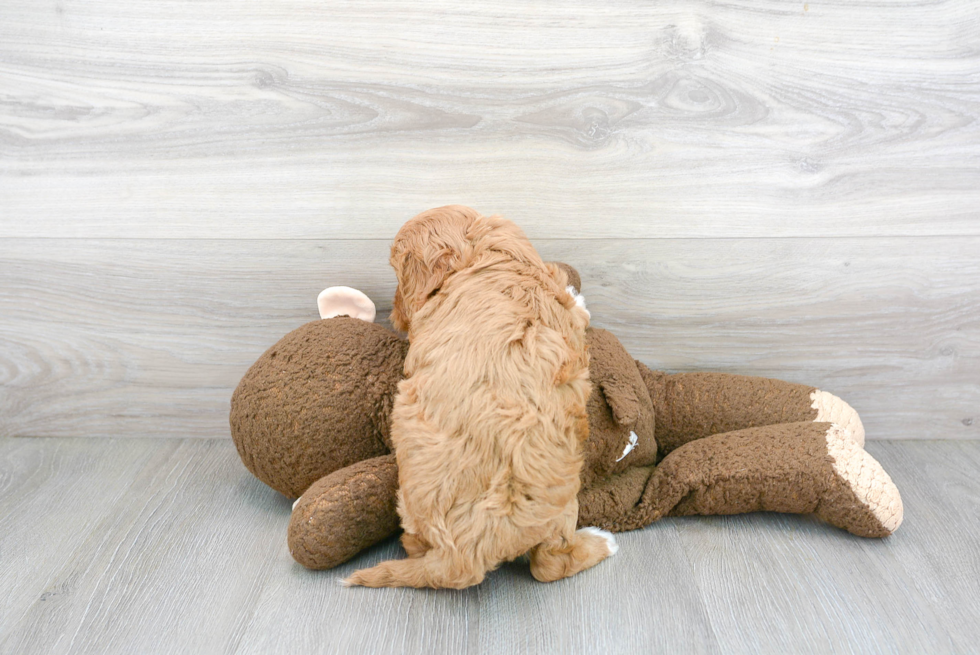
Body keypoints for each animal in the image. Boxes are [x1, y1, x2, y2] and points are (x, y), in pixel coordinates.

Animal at [344, 205, 616, 588]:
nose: (394, 314)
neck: (476, 254)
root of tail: (460, 558)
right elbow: (575, 307)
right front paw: (577, 295)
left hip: (409, 504)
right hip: (563, 506)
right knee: (550, 565)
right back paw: (603, 542)